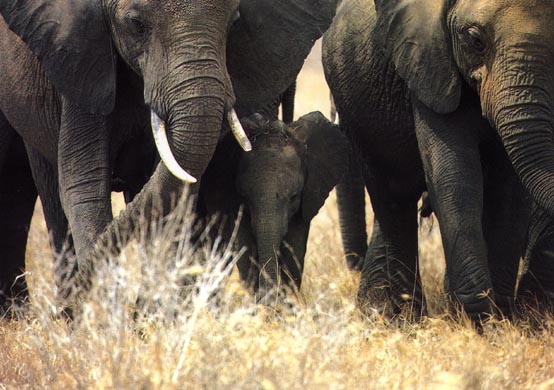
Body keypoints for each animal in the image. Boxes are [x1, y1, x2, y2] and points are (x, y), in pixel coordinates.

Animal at [322, 0, 554, 322]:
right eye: (474, 40)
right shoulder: (429, 67)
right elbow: (456, 178)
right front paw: (481, 320)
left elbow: (508, 188)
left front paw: (501, 321)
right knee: (394, 197)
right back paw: (405, 319)